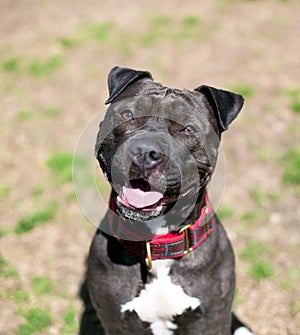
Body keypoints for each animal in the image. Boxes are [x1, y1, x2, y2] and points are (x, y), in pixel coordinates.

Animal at [81, 67, 253, 334]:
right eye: (127, 114)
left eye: (188, 129)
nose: (144, 152)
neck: (158, 243)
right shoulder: (116, 321)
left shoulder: (210, 320)